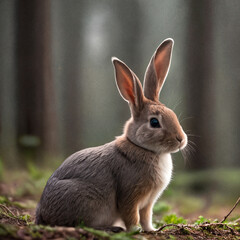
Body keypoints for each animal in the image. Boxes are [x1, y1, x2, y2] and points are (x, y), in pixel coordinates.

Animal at [35, 38, 188, 232]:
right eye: (154, 122)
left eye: (173, 114)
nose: (181, 139)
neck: (143, 148)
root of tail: (42, 213)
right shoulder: (130, 195)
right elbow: (131, 215)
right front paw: (136, 231)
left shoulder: (148, 203)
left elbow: (146, 217)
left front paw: (151, 230)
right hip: (87, 200)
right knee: (82, 224)